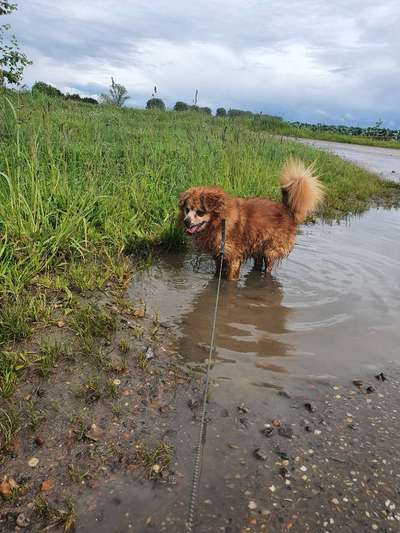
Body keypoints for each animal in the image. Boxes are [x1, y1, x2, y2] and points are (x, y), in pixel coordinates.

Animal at [180, 158, 324, 280]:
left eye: (200, 212)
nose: (186, 222)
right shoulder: (218, 255)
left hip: (270, 251)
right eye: (187, 210)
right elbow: (217, 272)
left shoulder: (233, 258)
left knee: (268, 267)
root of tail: (287, 210)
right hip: (257, 247)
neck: (220, 222)